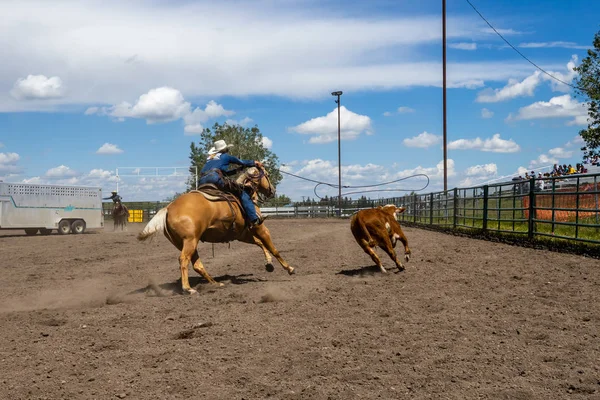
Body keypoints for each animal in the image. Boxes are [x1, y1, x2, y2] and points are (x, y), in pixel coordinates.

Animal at [137, 166, 296, 294]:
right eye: (267, 175)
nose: (272, 191)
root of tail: (168, 208)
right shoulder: (260, 227)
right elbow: (273, 248)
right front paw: (289, 268)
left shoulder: (243, 234)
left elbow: (260, 243)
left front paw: (269, 264)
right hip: (190, 241)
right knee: (184, 260)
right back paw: (188, 288)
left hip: (185, 243)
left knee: (197, 264)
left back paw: (215, 283)